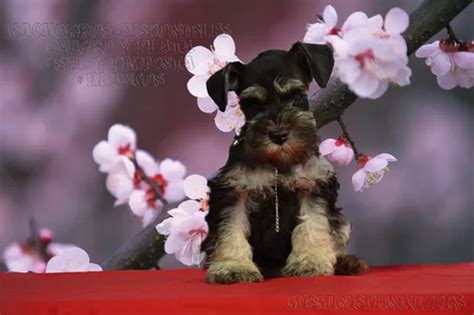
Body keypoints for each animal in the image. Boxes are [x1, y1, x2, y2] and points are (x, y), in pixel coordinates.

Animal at [200, 40, 366, 286]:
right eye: (251, 104)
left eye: (296, 95)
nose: (279, 135)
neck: (277, 163)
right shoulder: (234, 191)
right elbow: (231, 229)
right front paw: (233, 267)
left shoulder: (312, 185)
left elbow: (312, 225)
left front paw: (309, 262)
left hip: (340, 219)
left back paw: (347, 262)